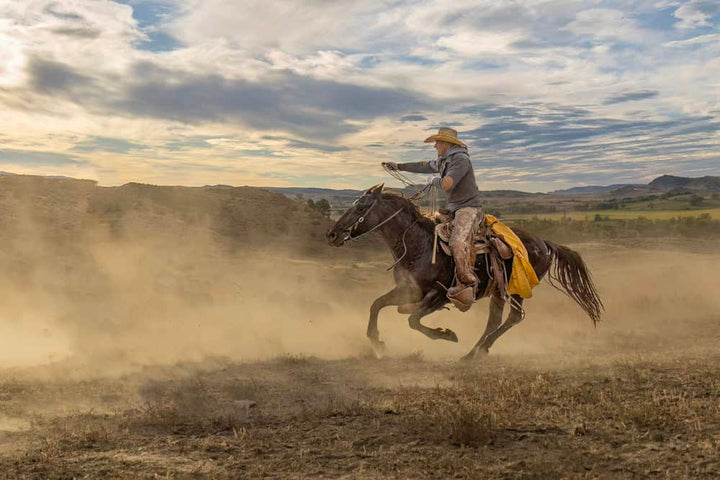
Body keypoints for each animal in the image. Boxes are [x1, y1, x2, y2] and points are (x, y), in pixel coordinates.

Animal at [325, 183, 604, 360]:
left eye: (361, 208)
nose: (332, 234)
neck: (417, 245)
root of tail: (544, 243)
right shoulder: (407, 290)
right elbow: (377, 305)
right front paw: (377, 342)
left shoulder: (437, 295)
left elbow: (413, 319)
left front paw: (446, 335)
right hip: (498, 291)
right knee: (495, 320)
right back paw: (475, 352)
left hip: (515, 290)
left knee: (513, 318)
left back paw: (477, 351)